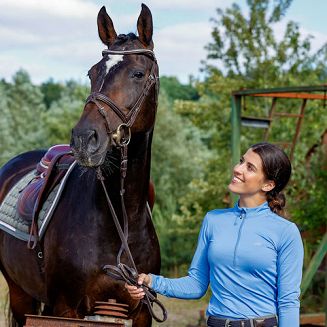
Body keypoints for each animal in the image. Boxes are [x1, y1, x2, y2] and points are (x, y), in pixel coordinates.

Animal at [0, 3, 161, 326]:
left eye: (138, 73)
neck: (122, 223)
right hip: (20, 293)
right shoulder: (67, 308)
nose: (85, 138)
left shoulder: (141, 312)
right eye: (92, 73)